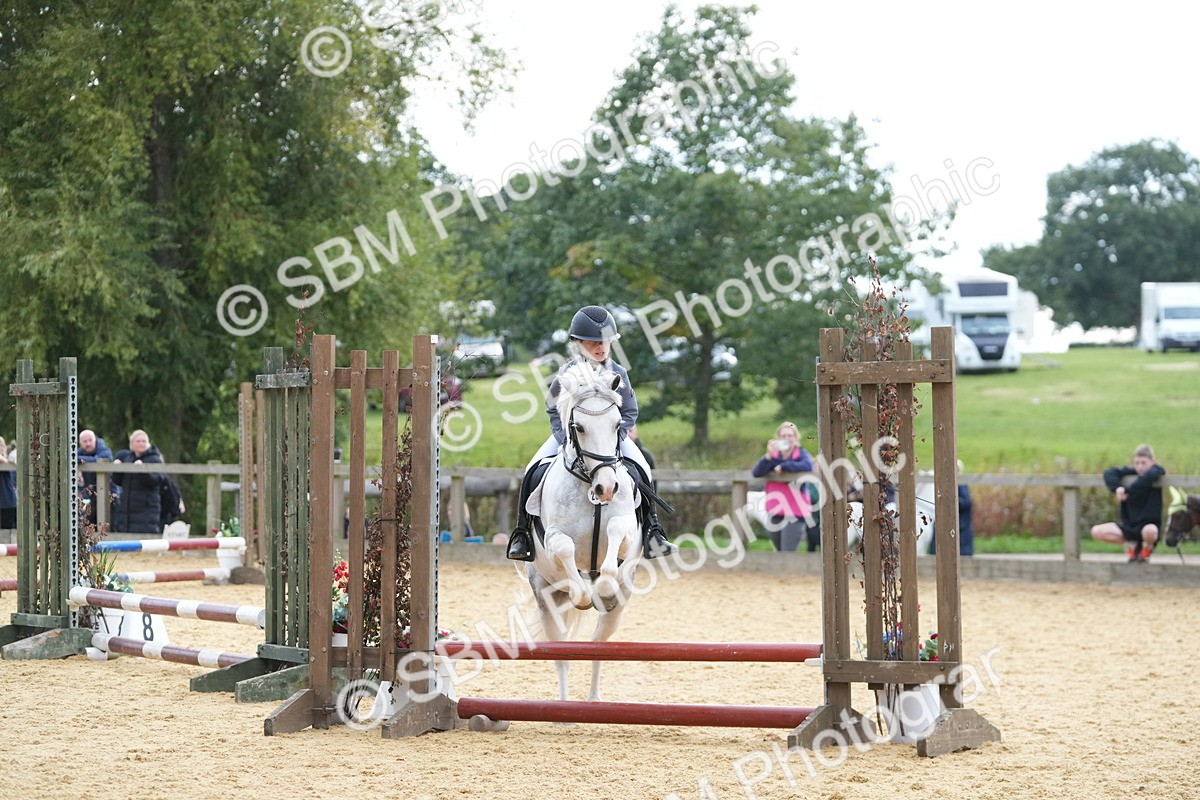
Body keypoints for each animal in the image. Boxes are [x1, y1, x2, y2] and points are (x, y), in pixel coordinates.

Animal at [524, 362, 643, 702]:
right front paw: (582, 593)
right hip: (546, 597)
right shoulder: (552, 539)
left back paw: (593, 700)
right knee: (561, 652)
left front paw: (603, 584)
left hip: (618, 607)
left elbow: (616, 529)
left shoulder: (627, 534)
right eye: (579, 427)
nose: (607, 489)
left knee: (598, 647)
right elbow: (565, 548)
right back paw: (564, 708)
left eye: (617, 424)